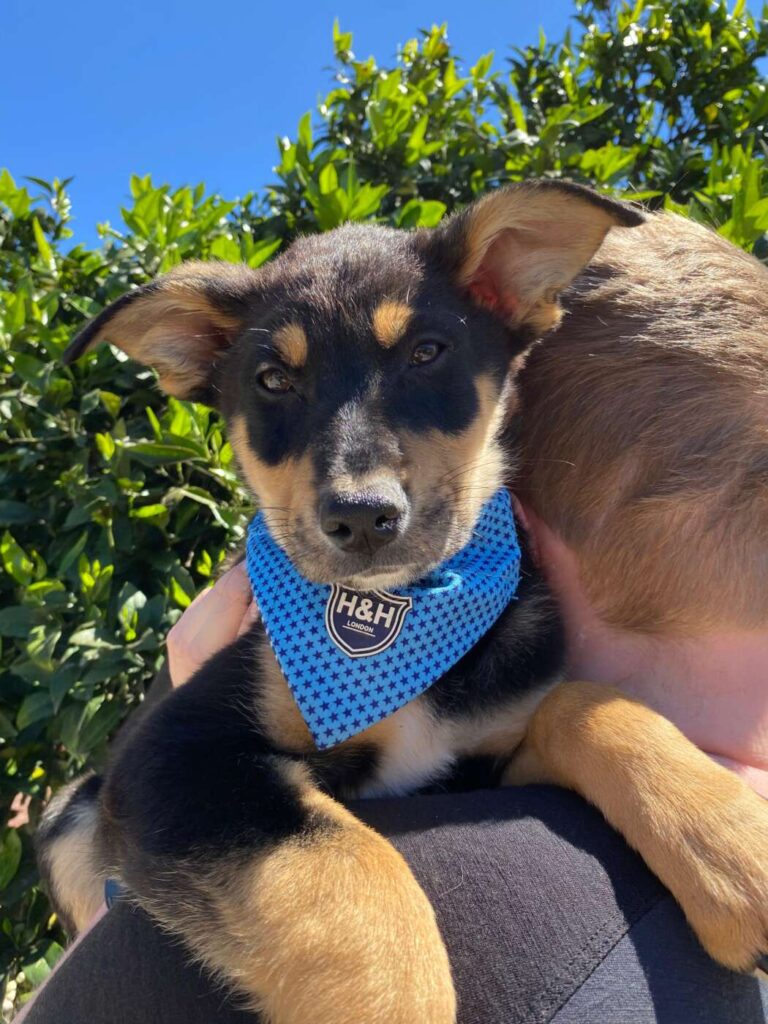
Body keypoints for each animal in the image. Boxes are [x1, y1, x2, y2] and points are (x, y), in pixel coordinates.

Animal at [39, 181, 768, 1024]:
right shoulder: (173, 759)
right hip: (70, 814)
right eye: (272, 380)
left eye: (427, 353)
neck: (398, 620)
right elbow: (351, 873)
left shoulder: (478, 759)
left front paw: (736, 850)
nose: (361, 517)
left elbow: (585, 703)